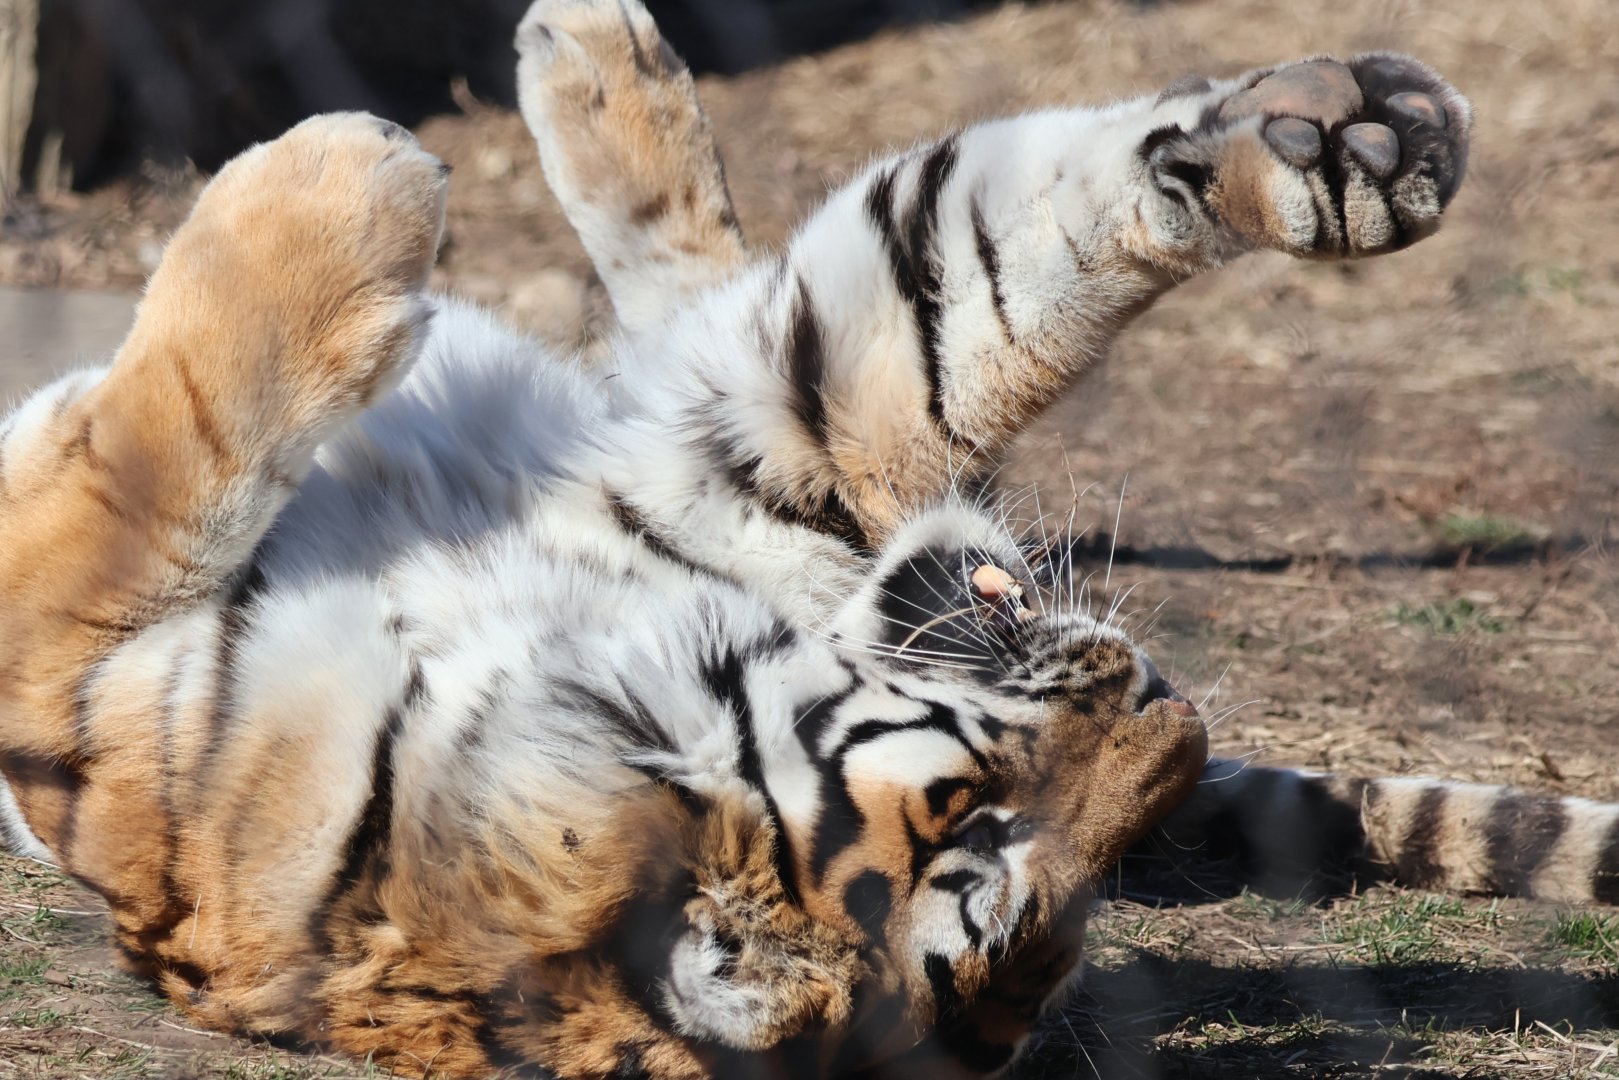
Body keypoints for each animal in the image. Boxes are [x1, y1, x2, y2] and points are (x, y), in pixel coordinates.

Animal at [0, 1, 1612, 1077]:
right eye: (972, 818)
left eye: (1075, 857)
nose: (1171, 718)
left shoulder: (738, 464)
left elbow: (172, 432)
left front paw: (350, 173)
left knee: (791, 301)